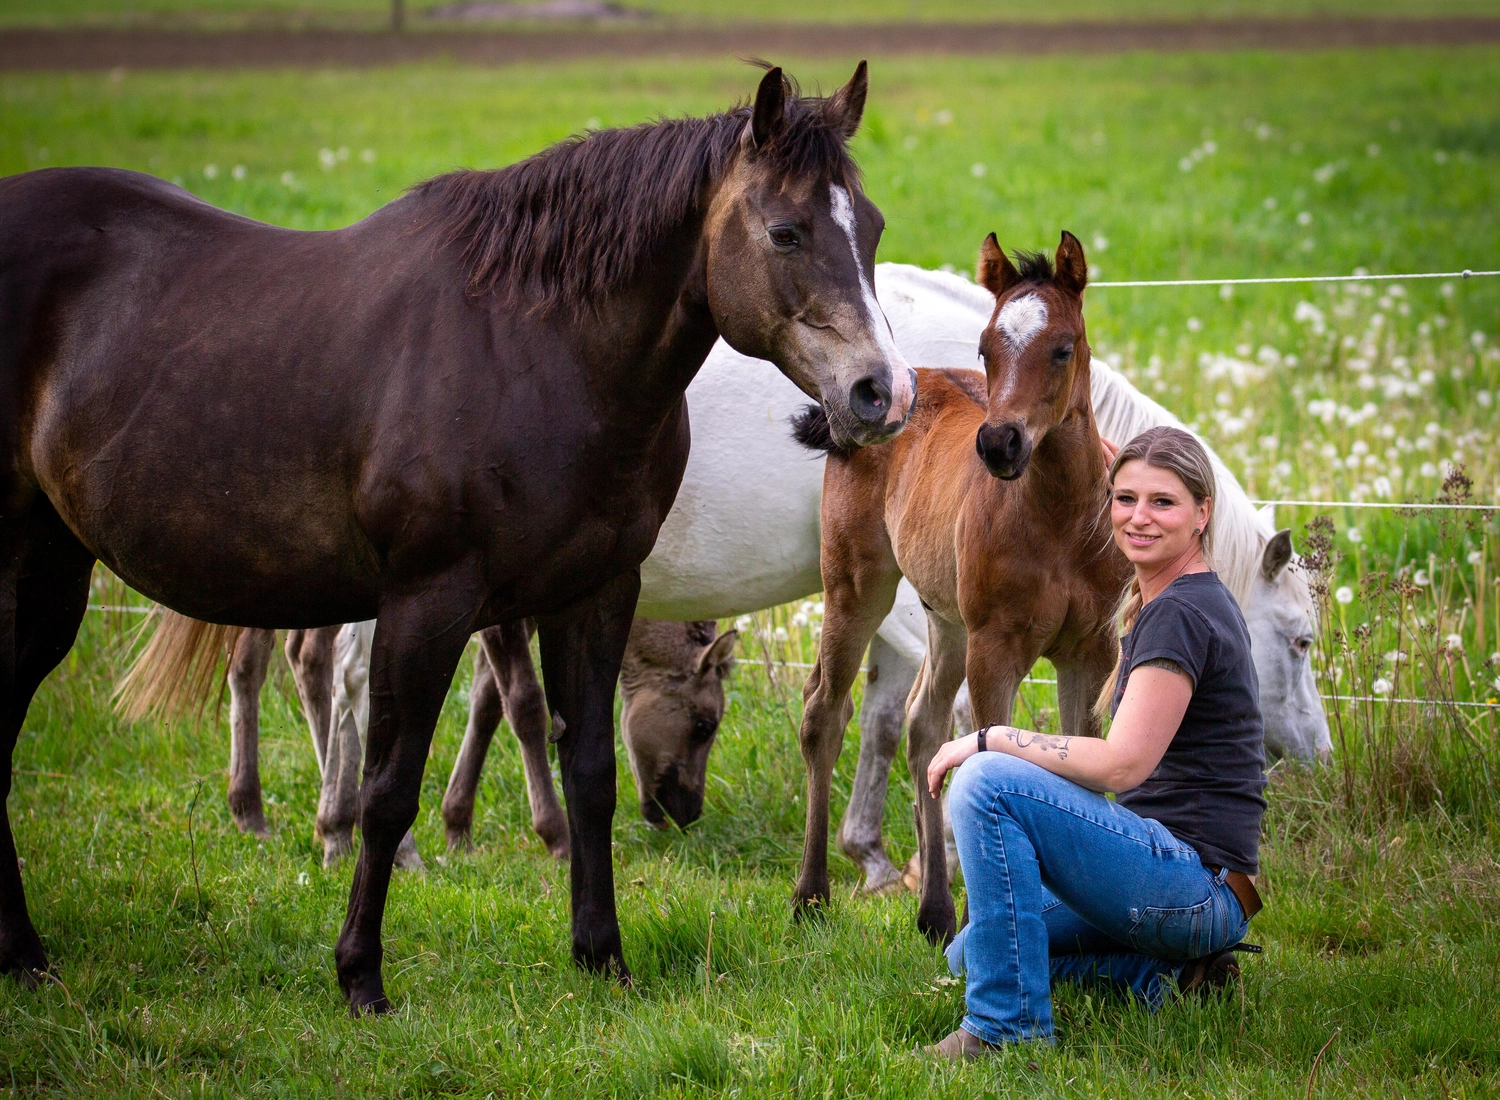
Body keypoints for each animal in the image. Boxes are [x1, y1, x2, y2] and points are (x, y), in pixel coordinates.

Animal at [0, 62, 915, 1012]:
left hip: (53, 563)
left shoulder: (594, 594)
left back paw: (24, 955)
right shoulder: (428, 602)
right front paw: (360, 974)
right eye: (785, 231)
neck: (534, 352)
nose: (882, 393)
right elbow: (389, 786)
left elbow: (590, 774)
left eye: (873, 225)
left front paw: (603, 956)